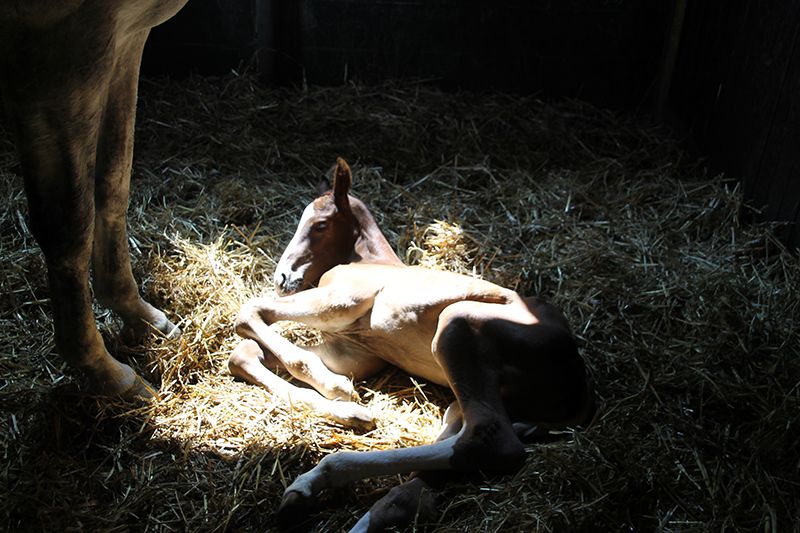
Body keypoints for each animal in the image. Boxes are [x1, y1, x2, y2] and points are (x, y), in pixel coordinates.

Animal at [0, 2, 188, 396]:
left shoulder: (126, 37)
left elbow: (113, 182)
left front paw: (138, 315)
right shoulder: (55, 62)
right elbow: (68, 232)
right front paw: (106, 371)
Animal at [231, 159, 592, 532]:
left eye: (320, 225)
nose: (283, 278)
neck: (368, 262)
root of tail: (578, 382)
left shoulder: (339, 300)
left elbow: (252, 313)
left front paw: (337, 390)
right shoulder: (354, 352)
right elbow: (245, 352)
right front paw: (349, 410)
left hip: (455, 322)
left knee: (489, 442)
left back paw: (325, 473)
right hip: (472, 404)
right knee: (423, 479)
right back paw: (312, 491)